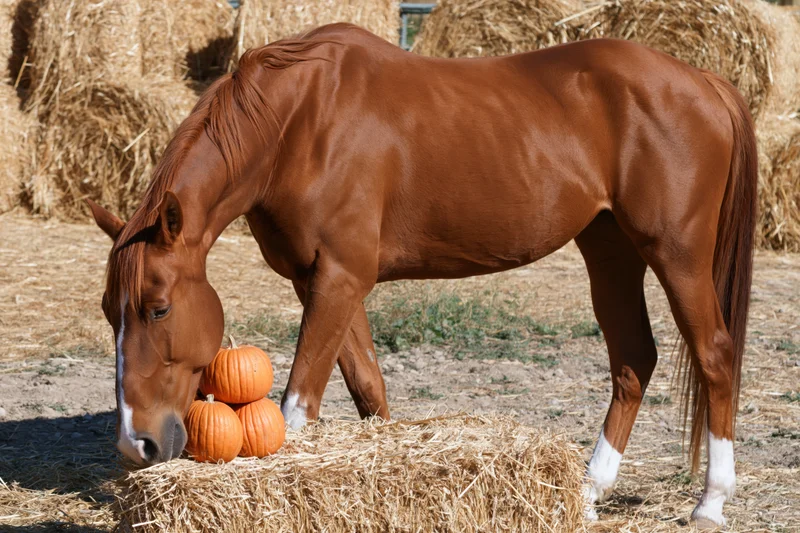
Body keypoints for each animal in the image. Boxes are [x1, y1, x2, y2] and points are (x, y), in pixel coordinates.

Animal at [89, 23, 756, 527]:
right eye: (107, 311)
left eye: (158, 307)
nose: (136, 442)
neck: (299, 122)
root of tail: (704, 80)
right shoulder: (322, 281)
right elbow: (369, 391)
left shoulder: (339, 280)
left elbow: (298, 406)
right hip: (610, 250)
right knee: (633, 360)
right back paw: (588, 493)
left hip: (676, 254)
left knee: (715, 355)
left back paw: (711, 502)